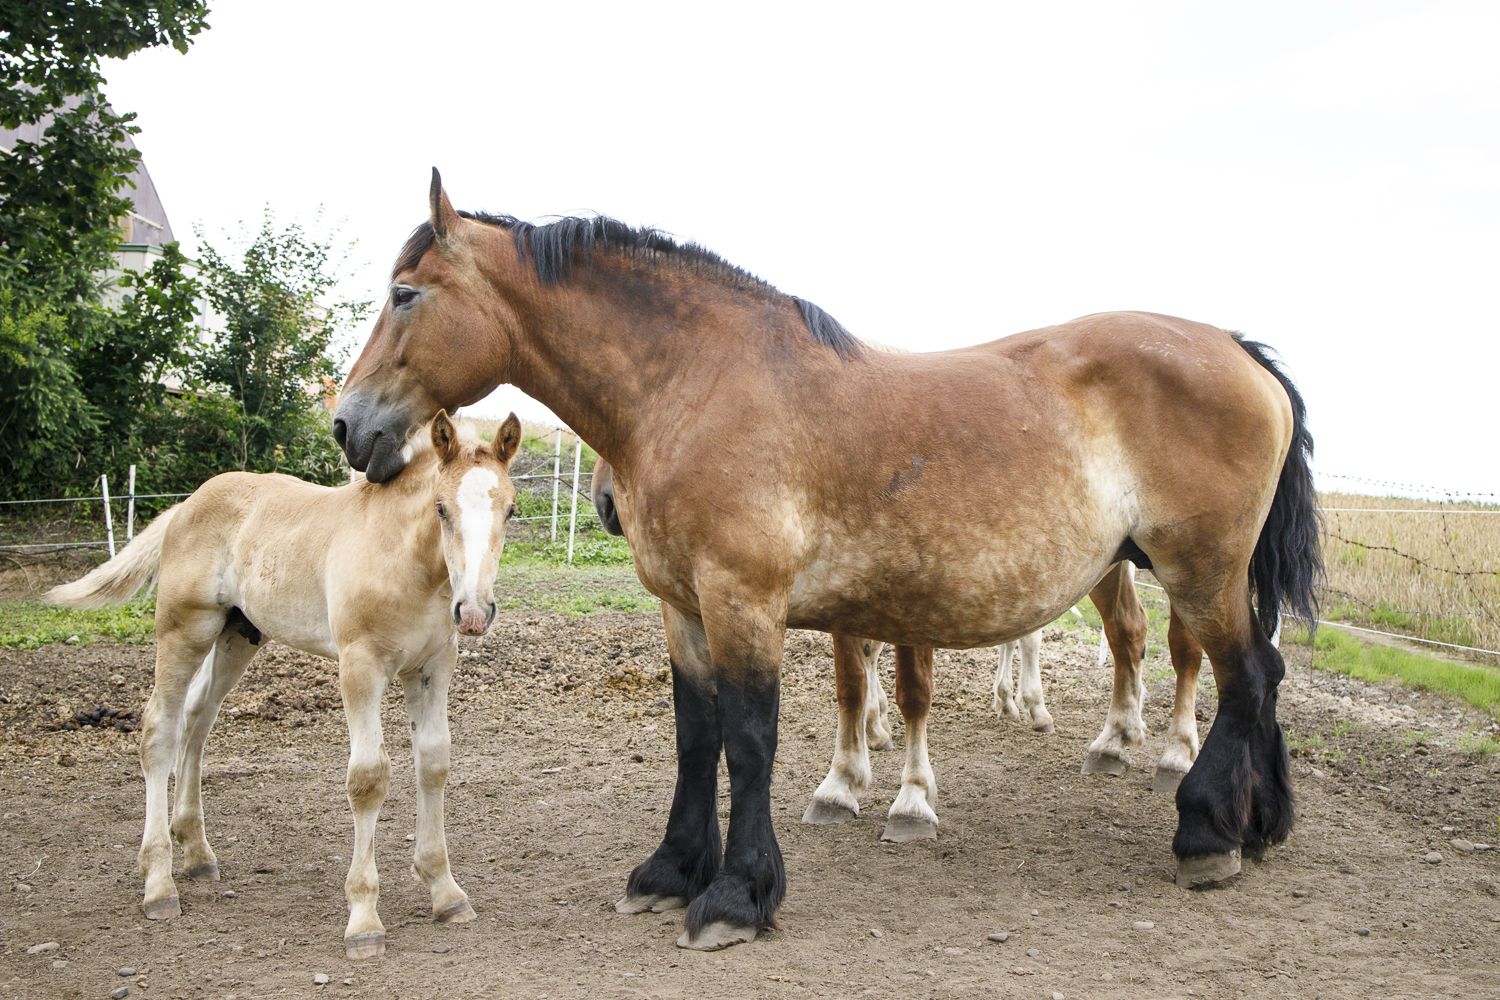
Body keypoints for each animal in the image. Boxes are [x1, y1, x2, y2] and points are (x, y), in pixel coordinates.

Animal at [48, 410, 522, 959]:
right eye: (441, 508)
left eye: (510, 510)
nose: (474, 612)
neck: (407, 563)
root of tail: (186, 505)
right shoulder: (359, 667)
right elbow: (368, 779)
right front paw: (364, 920)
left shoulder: (432, 668)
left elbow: (434, 764)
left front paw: (445, 893)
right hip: (183, 631)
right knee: (158, 731)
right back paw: (159, 884)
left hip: (239, 634)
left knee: (197, 719)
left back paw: (197, 853)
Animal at [334, 172, 1320, 953]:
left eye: (405, 294)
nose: (349, 426)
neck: (697, 381)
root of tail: (1239, 352)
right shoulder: (684, 608)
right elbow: (695, 735)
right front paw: (670, 871)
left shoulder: (745, 602)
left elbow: (748, 738)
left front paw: (736, 896)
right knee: (1263, 676)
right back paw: (1260, 825)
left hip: (1199, 572)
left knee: (1240, 678)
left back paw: (1207, 836)